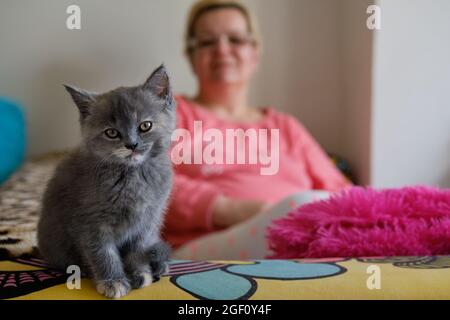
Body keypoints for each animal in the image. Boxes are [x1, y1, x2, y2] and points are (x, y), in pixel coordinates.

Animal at [37, 64, 174, 298]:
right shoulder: (90, 221)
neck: (133, 176)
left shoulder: (147, 222)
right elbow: (103, 252)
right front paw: (113, 281)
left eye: (145, 126)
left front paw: (140, 273)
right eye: (112, 133)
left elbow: (138, 250)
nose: (132, 144)